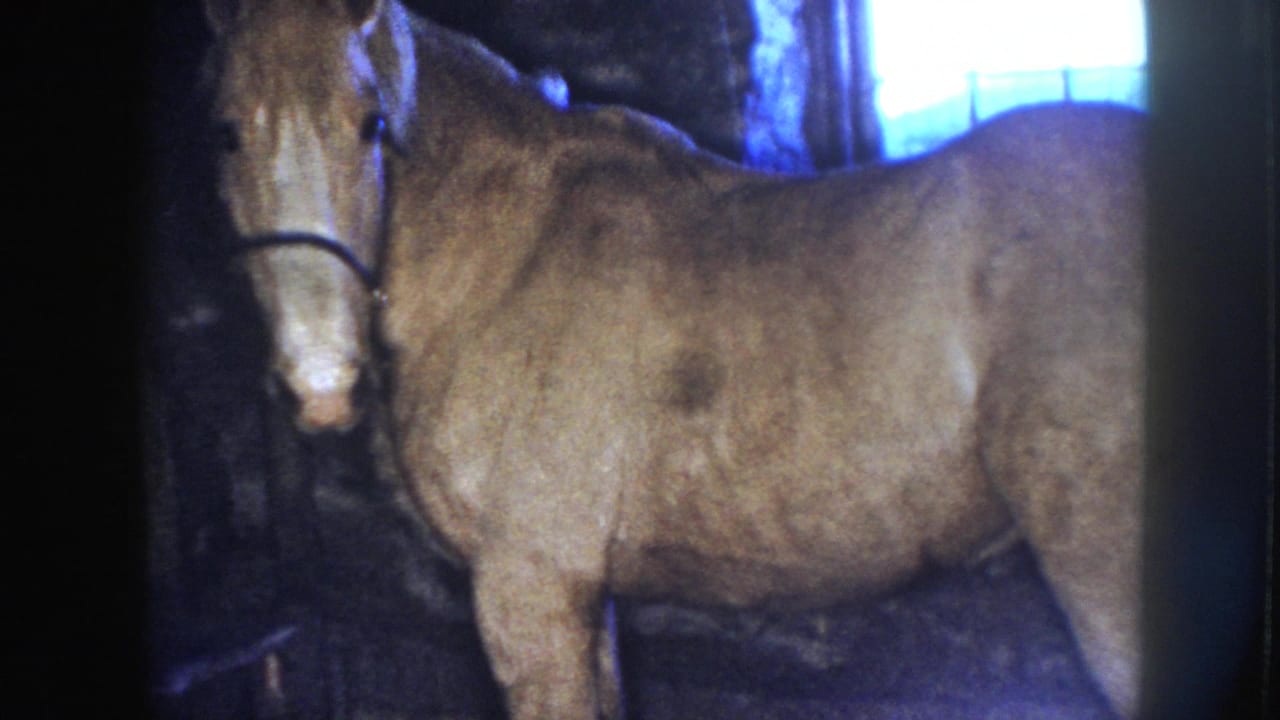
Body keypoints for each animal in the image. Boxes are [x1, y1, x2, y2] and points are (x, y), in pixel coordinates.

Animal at [200, 0, 1145, 717]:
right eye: (225, 132)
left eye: (371, 124)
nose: (323, 382)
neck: (506, 255)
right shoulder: (586, 597)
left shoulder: (527, 592)